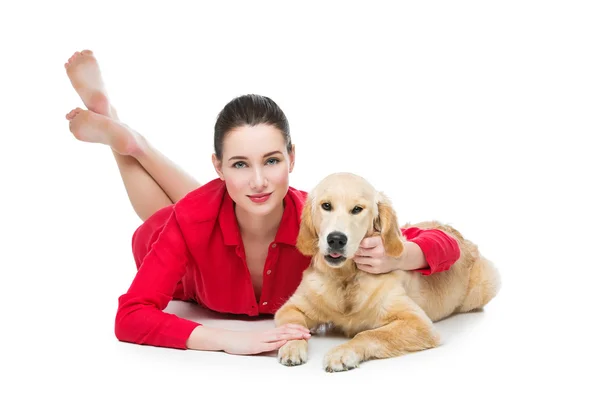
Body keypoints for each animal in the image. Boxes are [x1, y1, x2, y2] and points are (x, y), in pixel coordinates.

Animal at [274, 172, 500, 372]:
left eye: (357, 209)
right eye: (326, 205)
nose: (336, 239)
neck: (346, 277)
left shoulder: (417, 322)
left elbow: (369, 335)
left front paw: (342, 353)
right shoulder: (291, 308)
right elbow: (291, 327)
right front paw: (292, 347)